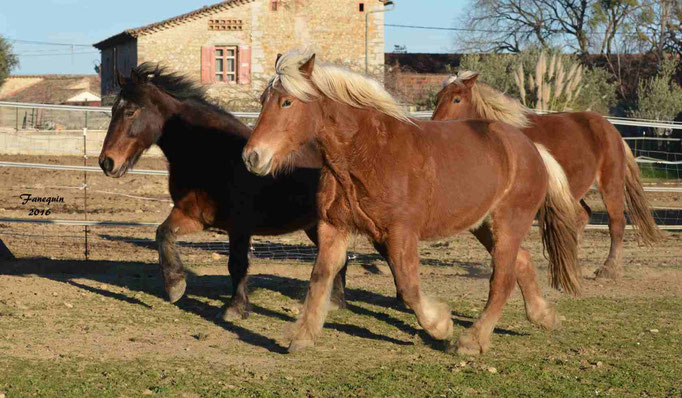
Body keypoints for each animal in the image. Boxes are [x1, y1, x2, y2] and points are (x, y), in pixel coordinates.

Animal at [98, 64, 348, 320]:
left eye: (130, 112)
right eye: (113, 110)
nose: (107, 162)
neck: (214, 154)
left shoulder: (239, 226)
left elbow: (237, 264)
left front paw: (235, 308)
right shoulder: (193, 215)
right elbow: (163, 234)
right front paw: (175, 285)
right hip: (315, 225)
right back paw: (334, 302)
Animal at [242, 50, 576, 354]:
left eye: (287, 102)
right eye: (262, 99)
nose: (252, 156)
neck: (367, 154)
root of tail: (531, 147)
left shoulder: (401, 232)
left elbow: (408, 286)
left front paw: (441, 326)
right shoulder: (334, 228)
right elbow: (320, 278)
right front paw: (302, 337)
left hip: (509, 221)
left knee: (503, 279)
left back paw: (472, 341)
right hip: (483, 225)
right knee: (522, 262)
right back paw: (544, 317)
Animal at [432, 71, 660, 278]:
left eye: (457, 99)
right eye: (437, 98)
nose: (436, 124)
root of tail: (612, 130)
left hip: (610, 183)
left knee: (616, 223)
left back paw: (608, 269)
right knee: (582, 215)